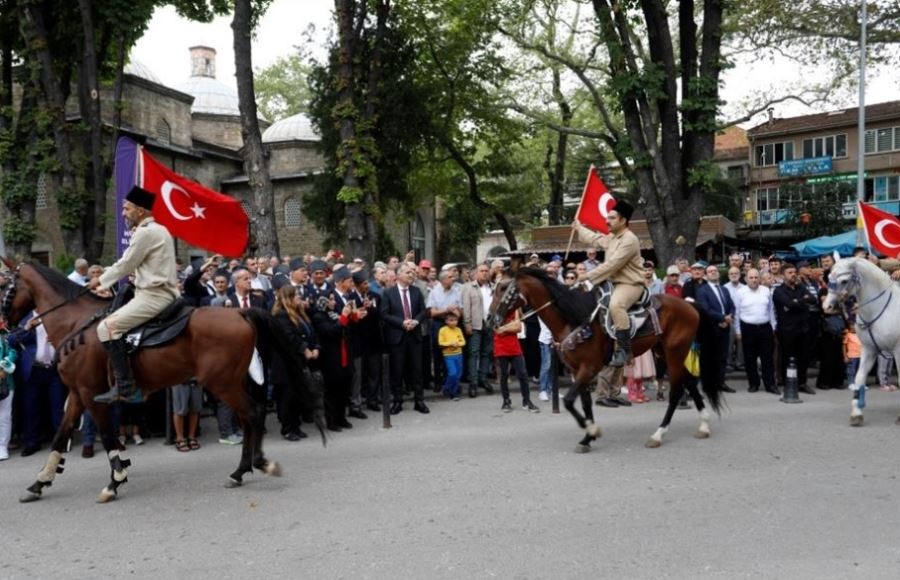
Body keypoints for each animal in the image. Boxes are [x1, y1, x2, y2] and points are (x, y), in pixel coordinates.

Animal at [0, 260, 324, 502]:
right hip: (231, 384)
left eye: (6, 286)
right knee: (248, 418)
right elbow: (60, 436)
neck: (76, 324)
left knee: (253, 415)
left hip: (224, 384)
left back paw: (252, 465)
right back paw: (244, 469)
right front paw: (39, 482)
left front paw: (115, 481)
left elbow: (107, 437)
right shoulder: (78, 394)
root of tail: (240, 312)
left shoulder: (90, 394)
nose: (4, 325)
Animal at [488, 268, 728, 454]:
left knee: (678, 390)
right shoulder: (577, 370)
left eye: (503, 288)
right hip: (665, 352)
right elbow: (584, 402)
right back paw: (704, 426)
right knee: (689, 382)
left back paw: (658, 435)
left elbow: (569, 401)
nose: (490, 318)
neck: (573, 319)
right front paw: (587, 438)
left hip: (674, 352)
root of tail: (690, 305)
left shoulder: (589, 367)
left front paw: (591, 431)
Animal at [824, 258, 900, 426]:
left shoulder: (898, 351)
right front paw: (856, 413)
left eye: (844, 281)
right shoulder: (868, 349)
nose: (827, 306)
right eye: (829, 278)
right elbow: (859, 378)